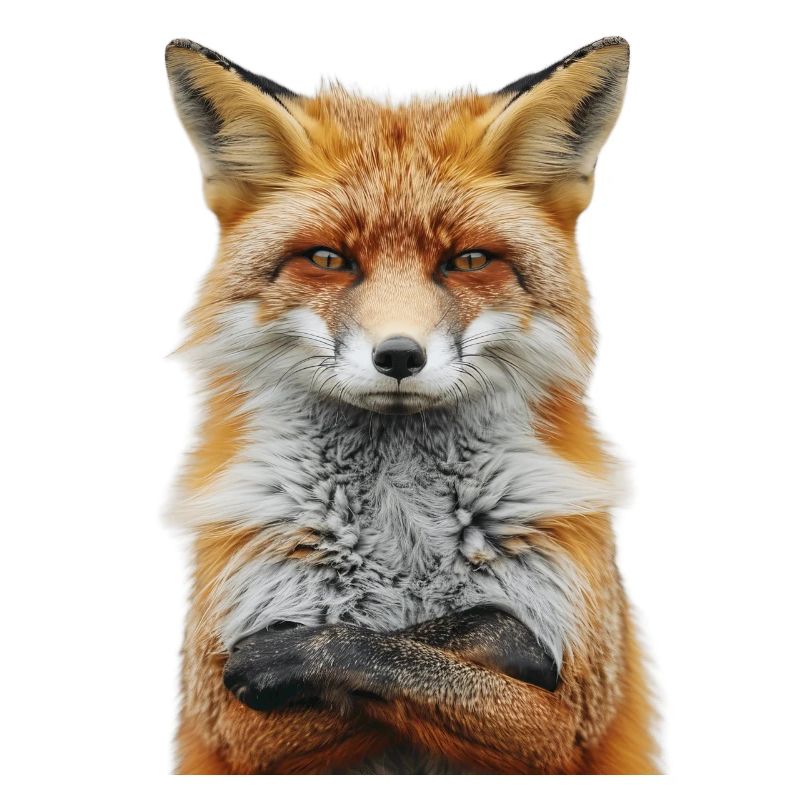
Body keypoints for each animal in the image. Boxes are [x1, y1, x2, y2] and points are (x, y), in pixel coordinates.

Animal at [165, 35, 658, 774]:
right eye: (328, 259)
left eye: (469, 260)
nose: (399, 356)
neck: (401, 530)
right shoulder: (230, 722)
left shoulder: (573, 714)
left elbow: (426, 651)